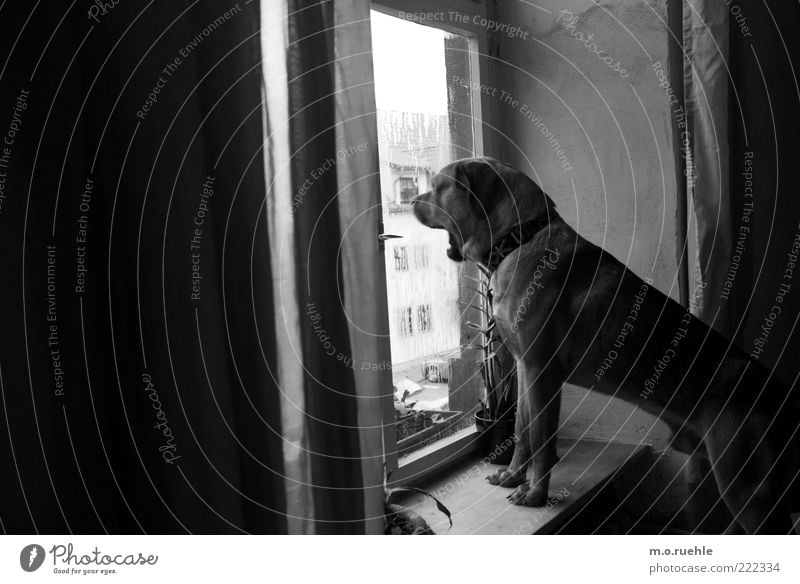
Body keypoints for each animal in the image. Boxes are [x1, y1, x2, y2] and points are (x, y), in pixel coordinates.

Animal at [412, 155, 800, 532]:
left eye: (438, 187)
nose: (412, 200)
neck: (521, 238)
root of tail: (782, 396)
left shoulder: (541, 371)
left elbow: (540, 439)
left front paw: (536, 494)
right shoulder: (524, 368)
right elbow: (521, 431)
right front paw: (512, 475)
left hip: (746, 488)